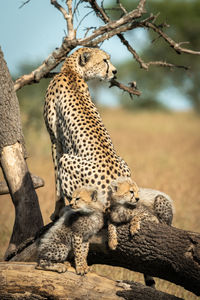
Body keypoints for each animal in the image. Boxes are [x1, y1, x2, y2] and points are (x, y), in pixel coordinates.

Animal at [43, 47, 130, 220]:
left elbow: (56, 182)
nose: (115, 71)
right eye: (104, 60)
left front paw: (56, 211)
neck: (71, 71)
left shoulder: (55, 141)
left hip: (67, 160)